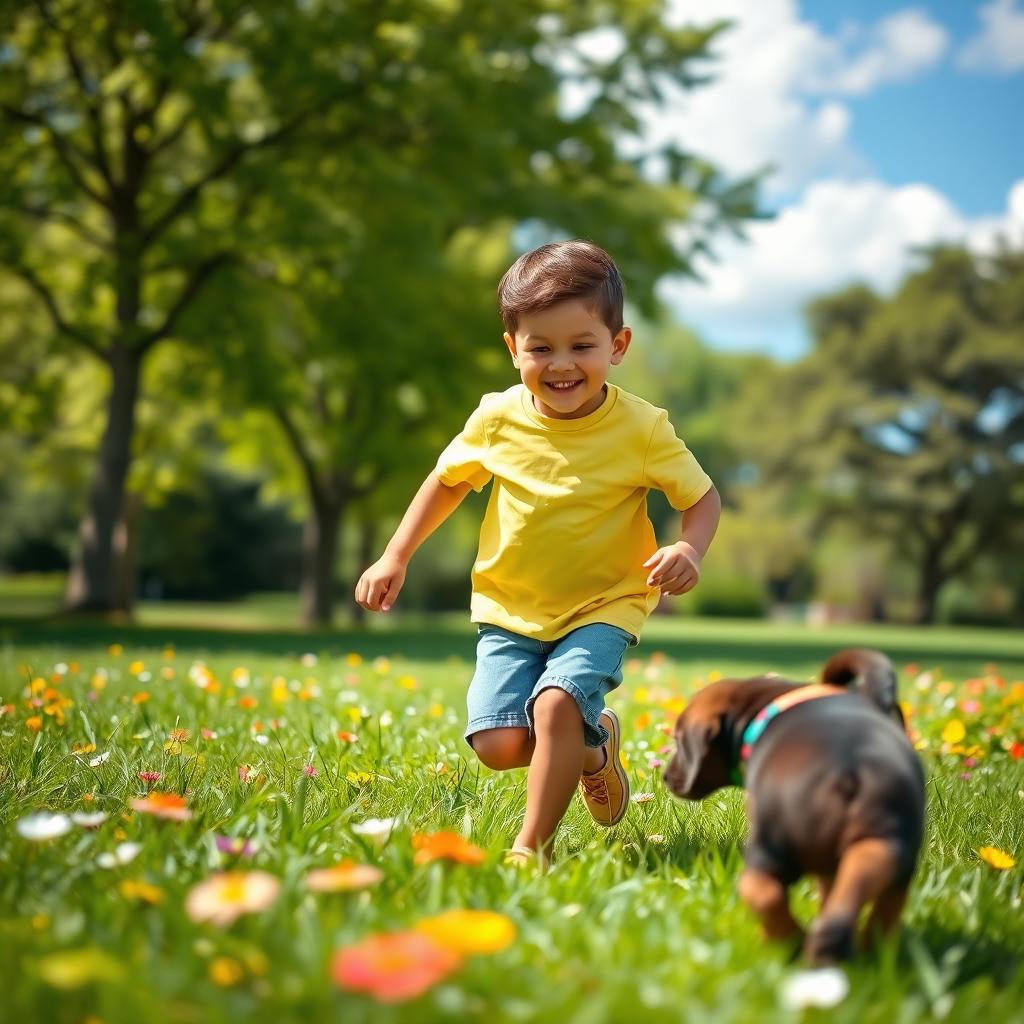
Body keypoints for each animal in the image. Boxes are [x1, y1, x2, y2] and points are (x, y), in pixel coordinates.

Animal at [663, 651, 929, 962]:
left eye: (679, 741)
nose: (665, 777)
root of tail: (847, 770)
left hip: (772, 846)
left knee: (760, 890)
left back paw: (787, 942)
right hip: (885, 841)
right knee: (869, 892)